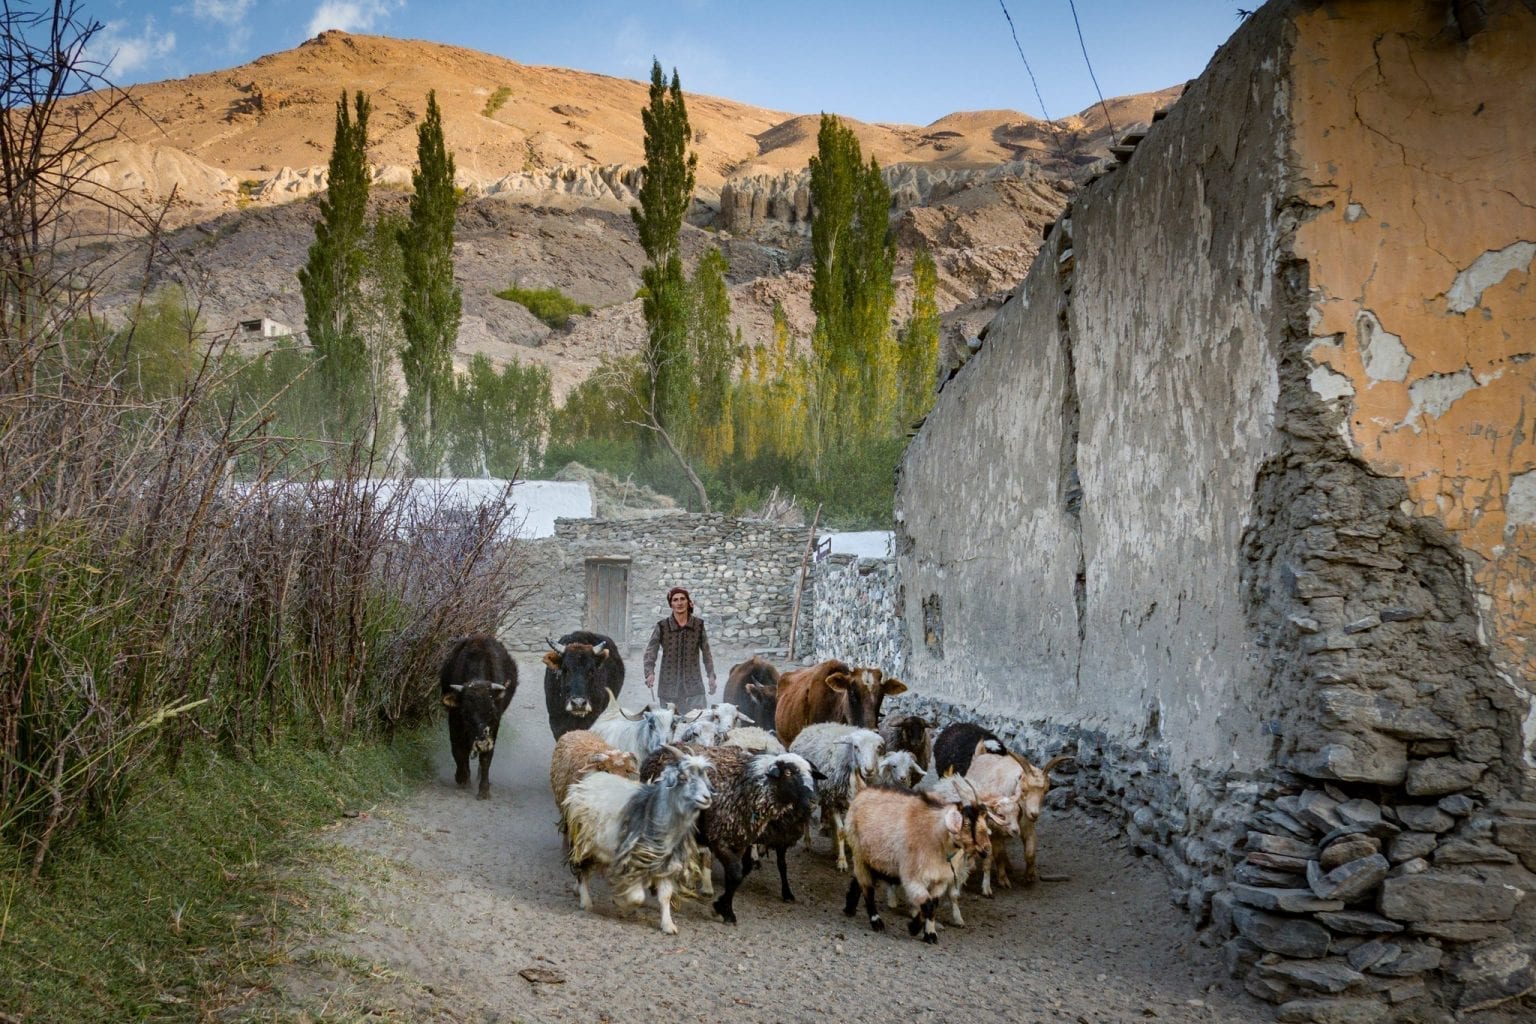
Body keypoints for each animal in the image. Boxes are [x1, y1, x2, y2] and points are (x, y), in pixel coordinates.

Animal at [442, 632, 519, 798]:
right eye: (465, 712)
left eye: (491, 710)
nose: (482, 743)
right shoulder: (454, 719)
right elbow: (458, 750)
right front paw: (462, 778)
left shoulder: (494, 725)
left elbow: (486, 758)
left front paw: (484, 790)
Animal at [562, 746, 709, 939]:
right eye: (683, 777)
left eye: (705, 777)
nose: (707, 797)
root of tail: (590, 778)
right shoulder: (631, 861)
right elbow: (637, 897)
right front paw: (621, 902)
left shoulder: (666, 865)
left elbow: (665, 896)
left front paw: (668, 925)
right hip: (583, 839)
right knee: (581, 870)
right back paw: (585, 902)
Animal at [786, 721, 884, 872]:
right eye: (856, 747)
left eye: (878, 748)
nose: (869, 770)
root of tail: (811, 726)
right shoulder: (833, 800)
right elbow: (841, 831)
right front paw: (842, 861)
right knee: (807, 816)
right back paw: (808, 842)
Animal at [847, 786, 989, 945]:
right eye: (967, 824)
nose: (986, 849)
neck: (938, 838)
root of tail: (862, 791)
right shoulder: (913, 877)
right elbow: (927, 904)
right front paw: (914, 928)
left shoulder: (940, 880)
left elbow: (933, 905)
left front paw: (930, 934)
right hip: (859, 852)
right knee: (868, 889)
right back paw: (876, 922)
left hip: (875, 859)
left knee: (859, 881)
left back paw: (850, 908)